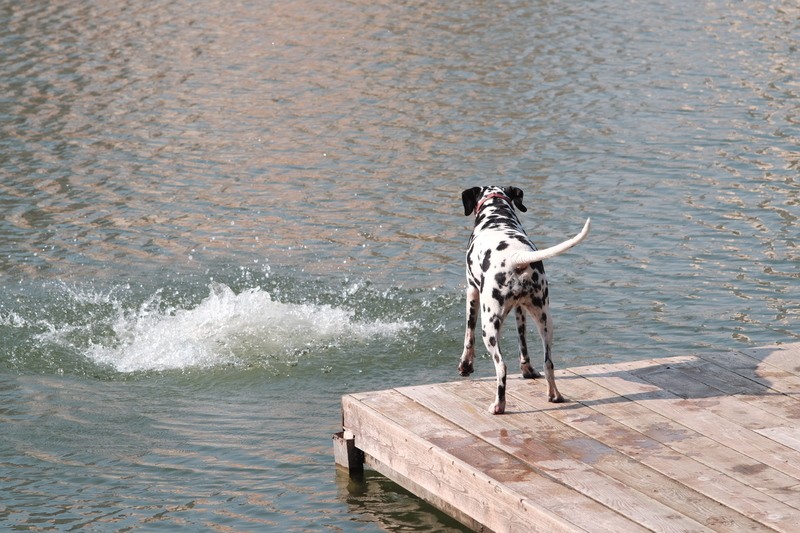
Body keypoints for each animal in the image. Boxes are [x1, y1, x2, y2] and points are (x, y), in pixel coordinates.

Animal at [460, 185, 592, 414]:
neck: (497, 216)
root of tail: (516, 257)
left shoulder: (472, 291)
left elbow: (469, 335)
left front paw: (465, 365)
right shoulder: (520, 310)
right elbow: (523, 345)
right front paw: (527, 370)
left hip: (489, 328)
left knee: (501, 367)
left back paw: (499, 405)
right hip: (545, 322)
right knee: (549, 364)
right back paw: (554, 395)